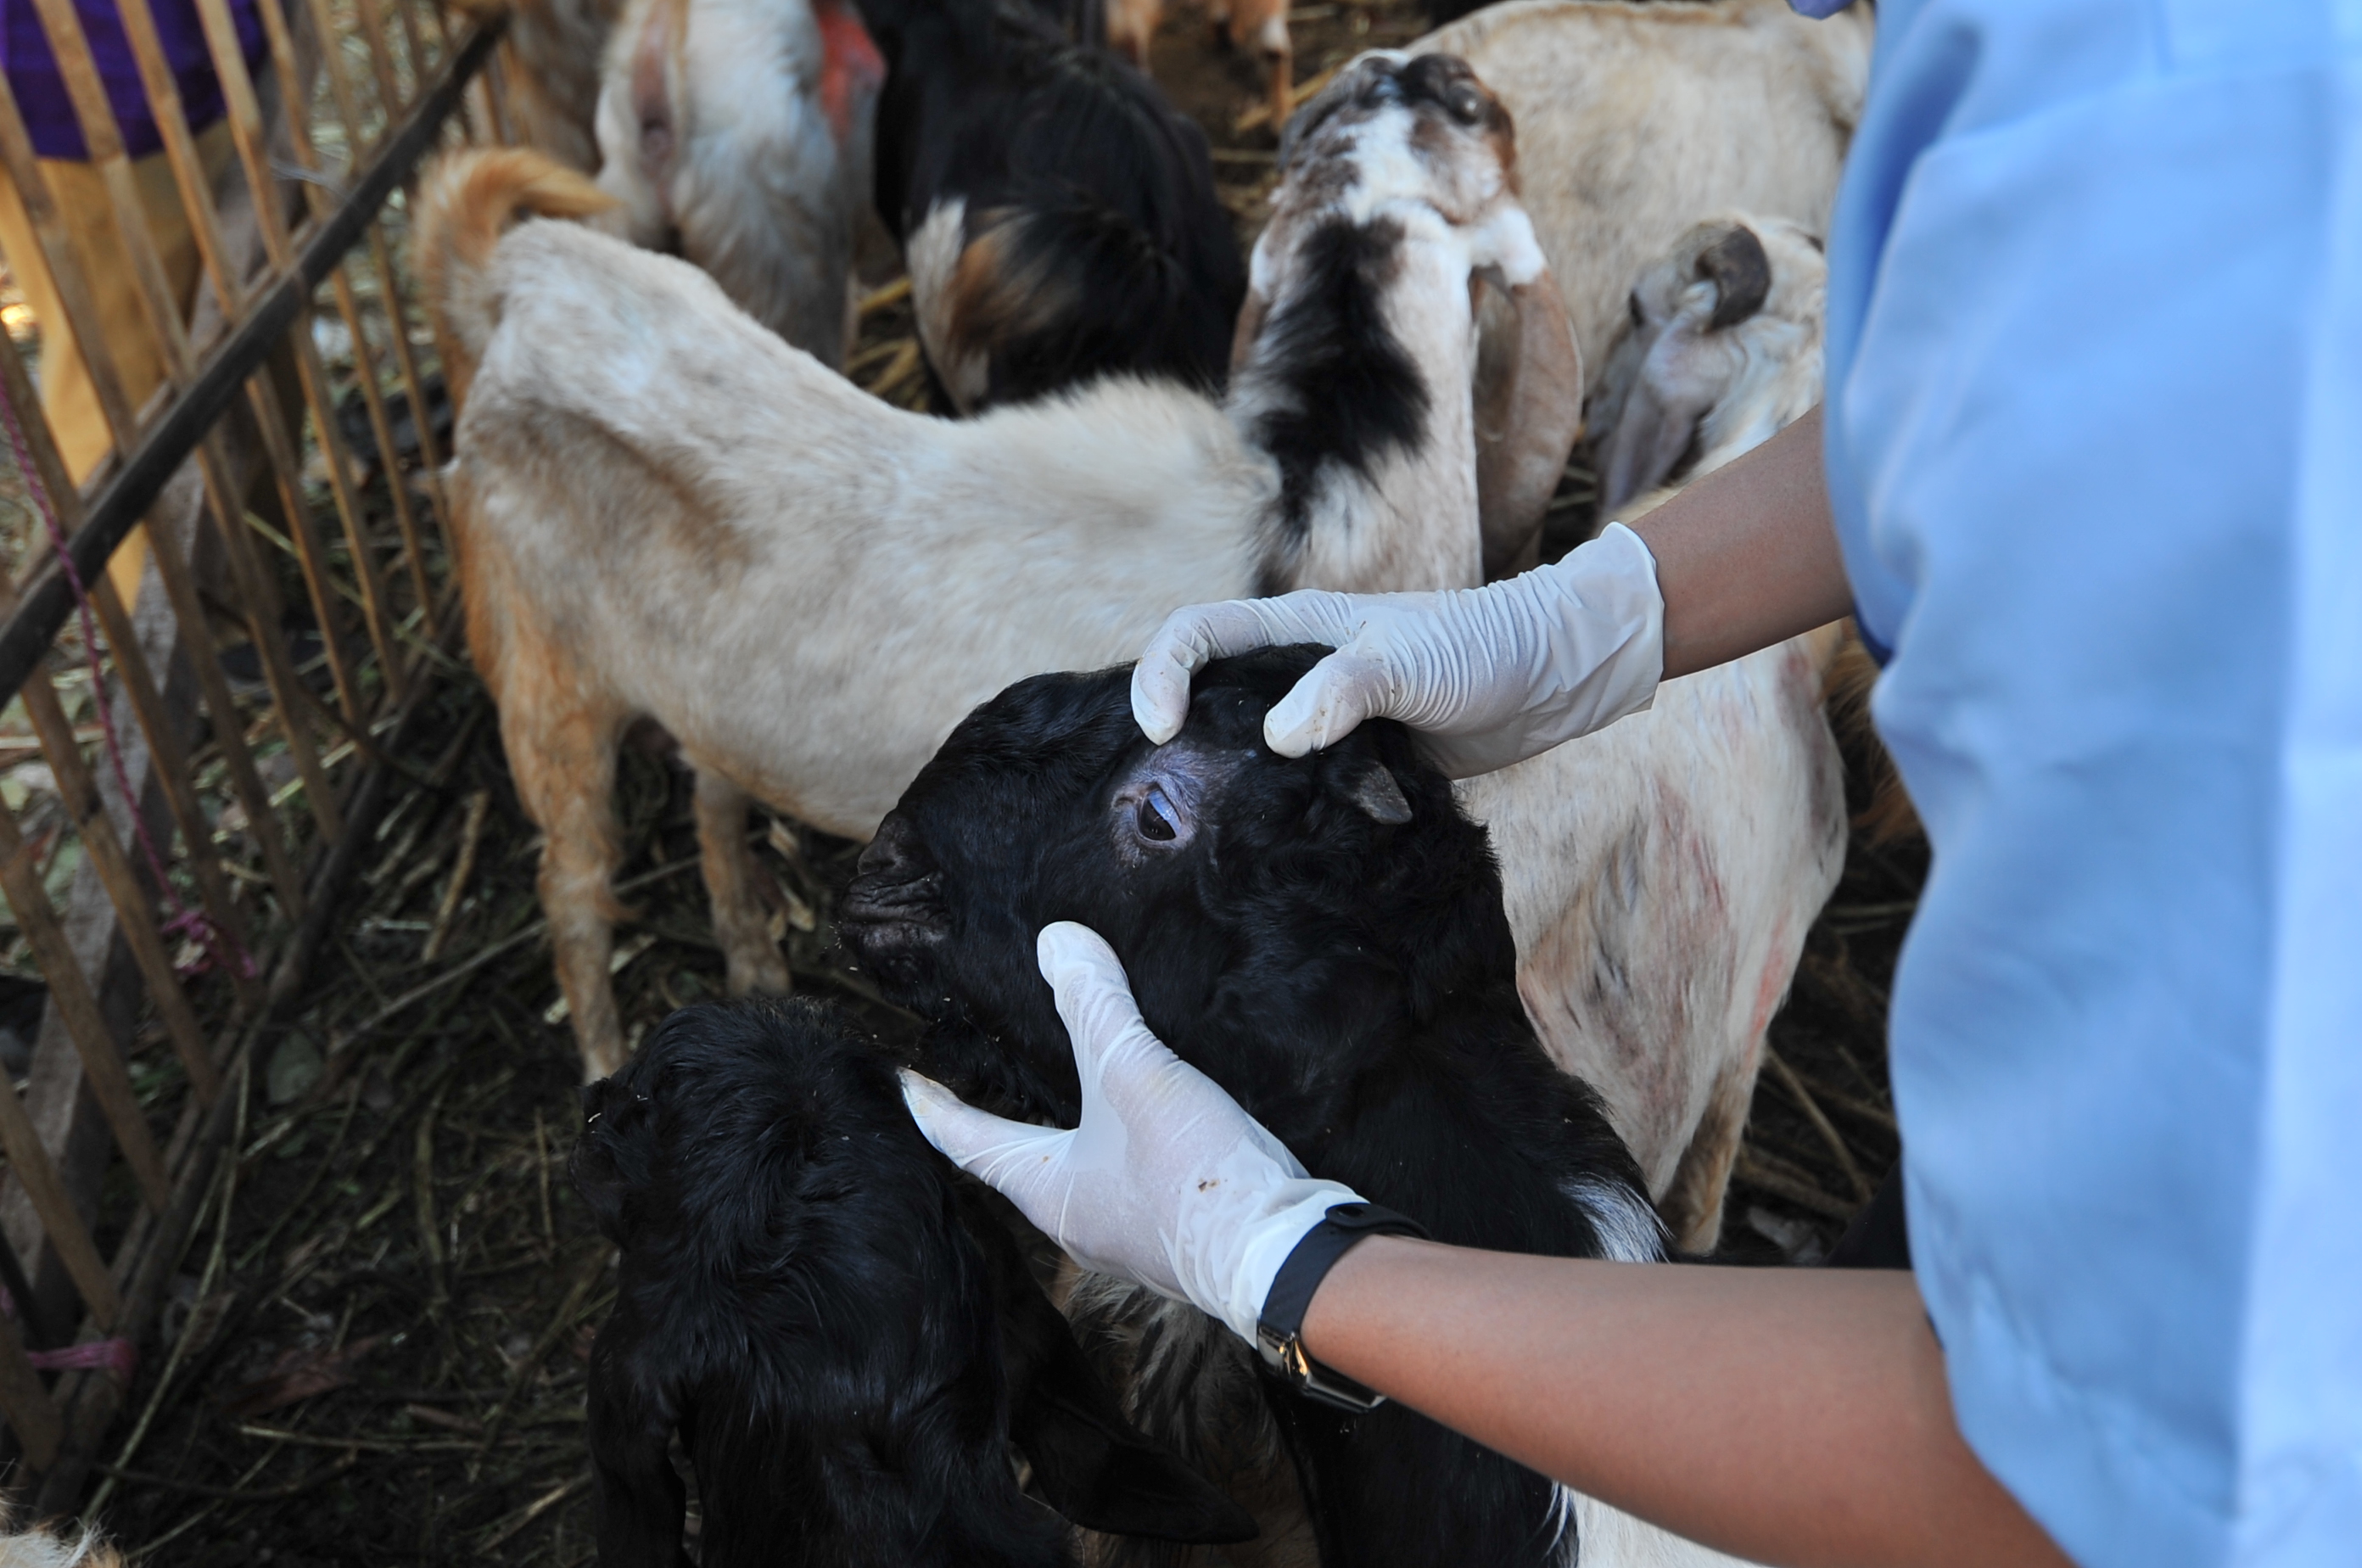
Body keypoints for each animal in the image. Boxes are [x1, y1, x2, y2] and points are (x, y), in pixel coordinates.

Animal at [420, 52, 1587, 1077]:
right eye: (1463, 109)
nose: (1420, 67)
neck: (1309, 486)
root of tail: (516, 287)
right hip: (543, 682)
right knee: (572, 886)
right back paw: (603, 1058)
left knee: (711, 785)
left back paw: (750, 952)